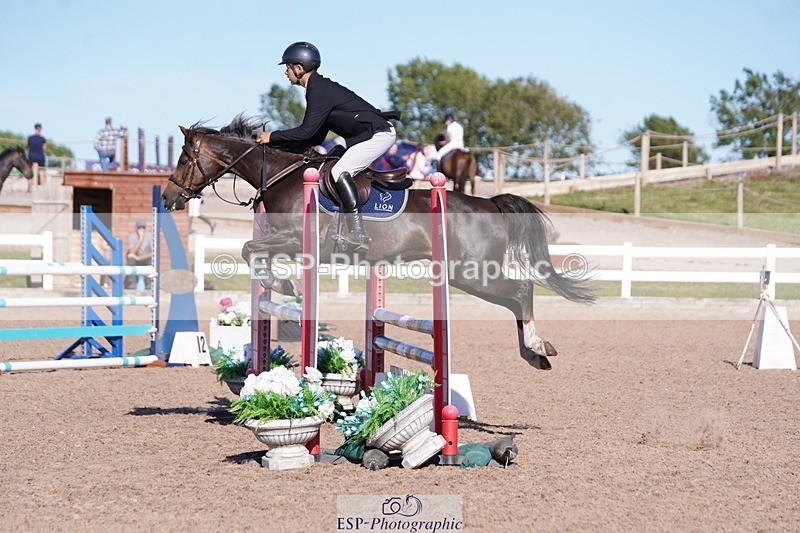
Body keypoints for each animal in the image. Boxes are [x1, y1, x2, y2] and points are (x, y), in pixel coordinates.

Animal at [161, 117, 595, 370]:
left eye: (183, 159)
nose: (168, 198)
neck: (283, 174)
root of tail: (489, 203)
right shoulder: (286, 242)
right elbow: (252, 252)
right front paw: (280, 283)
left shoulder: (300, 241)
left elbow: (250, 251)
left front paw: (282, 284)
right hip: (465, 276)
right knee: (516, 298)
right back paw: (533, 353)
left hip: (472, 274)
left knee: (521, 291)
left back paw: (536, 346)